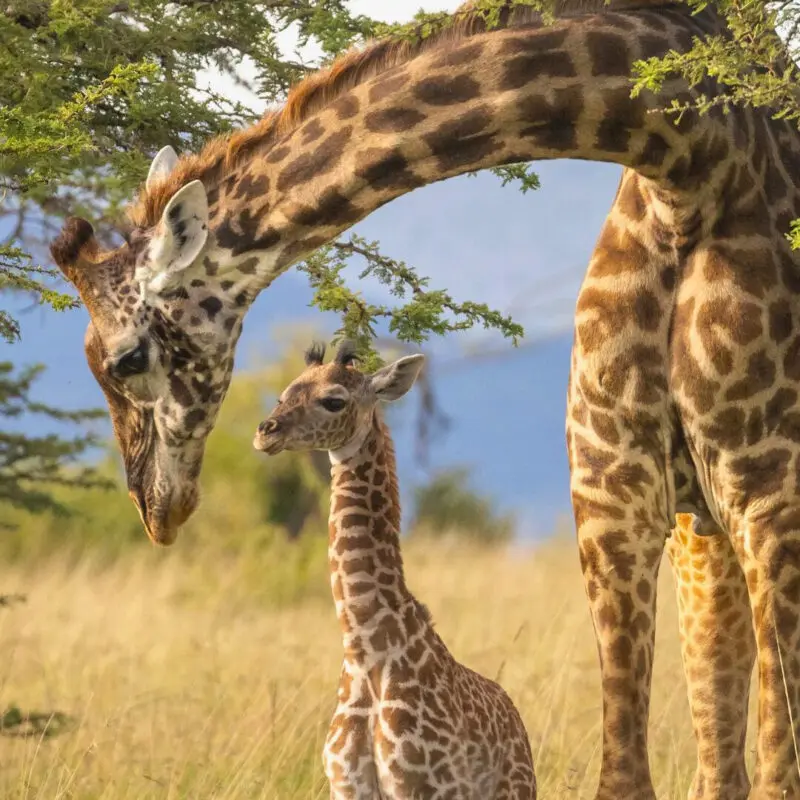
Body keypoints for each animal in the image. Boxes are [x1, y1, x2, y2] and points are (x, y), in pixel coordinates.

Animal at [253, 340, 537, 799]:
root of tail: (517, 720)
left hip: (515, 790)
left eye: (334, 400)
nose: (266, 431)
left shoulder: (416, 785)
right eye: (284, 392)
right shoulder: (346, 786)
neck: (366, 652)